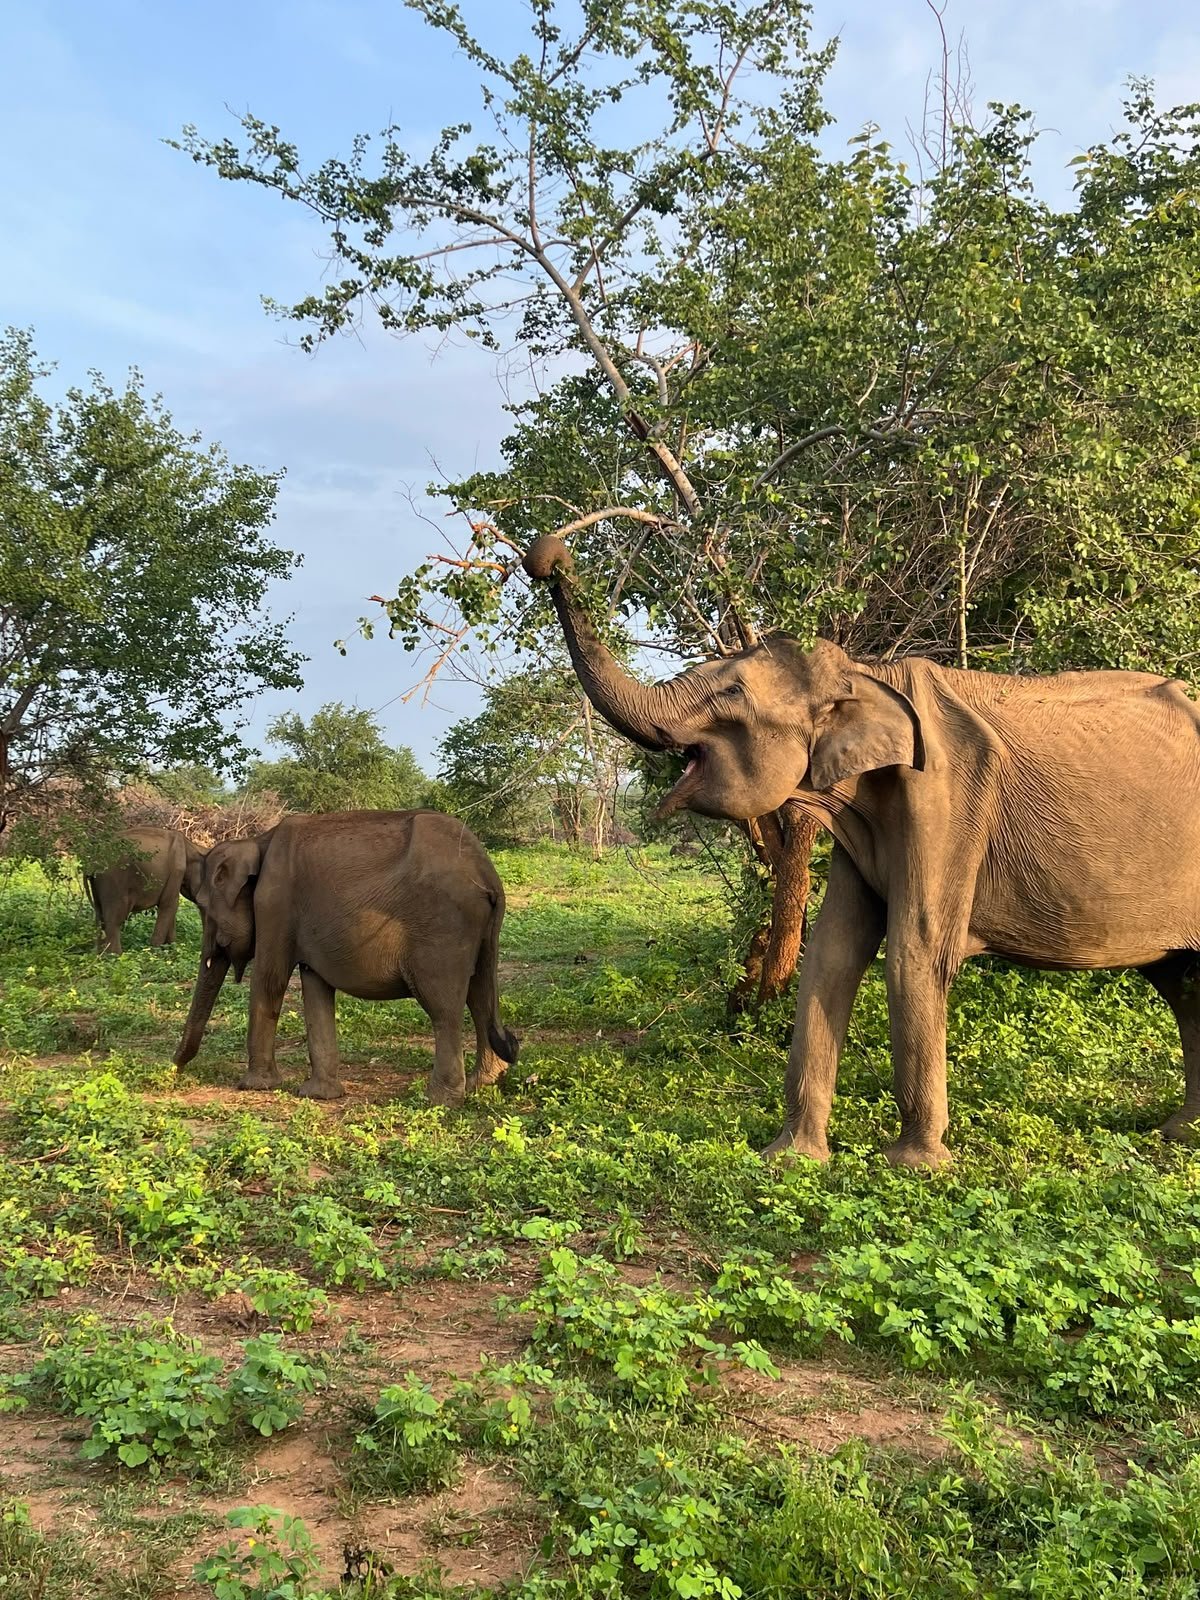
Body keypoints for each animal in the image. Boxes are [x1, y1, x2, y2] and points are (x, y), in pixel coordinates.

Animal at [83, 825, 205, 955]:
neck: (191, 846)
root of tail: (92, 861)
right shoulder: (177, 870)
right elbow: (169, 904)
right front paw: (156, 953)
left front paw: (170, 950)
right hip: (112, 881)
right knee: (114, 919)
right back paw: (115, 955)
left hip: (97, 884)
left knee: (99, 916)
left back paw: (99, 955)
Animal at [173, 809, 519, 1104]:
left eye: (203, 908)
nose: (175, 1067)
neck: (257, 841)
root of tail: (485, 872)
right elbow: (314, 985)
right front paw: (318, 1095)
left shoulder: (275, 904)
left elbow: (270, 981)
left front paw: (254, 1086)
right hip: (478, 931)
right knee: (479, 994)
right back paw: (482, 1084)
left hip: (443, 928)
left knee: (443, 1007)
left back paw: (438, 1100)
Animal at [524, 533, 1200, 1168]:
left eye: (733, 695)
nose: (549, 557)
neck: (869, 673)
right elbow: (833, 950)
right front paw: (790, 1159)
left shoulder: (946, 798)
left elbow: (915, 950)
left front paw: (916, 1166)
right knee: (1183, 983)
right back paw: (1180, 1134)